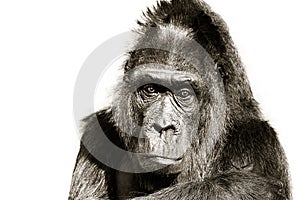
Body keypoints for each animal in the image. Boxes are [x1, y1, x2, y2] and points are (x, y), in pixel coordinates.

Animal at [68, 0, 290, 198]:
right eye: (151, 89)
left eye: (184, 93)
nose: (163, 125)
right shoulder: (96, 134)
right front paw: (241, 188)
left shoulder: (257, 141)